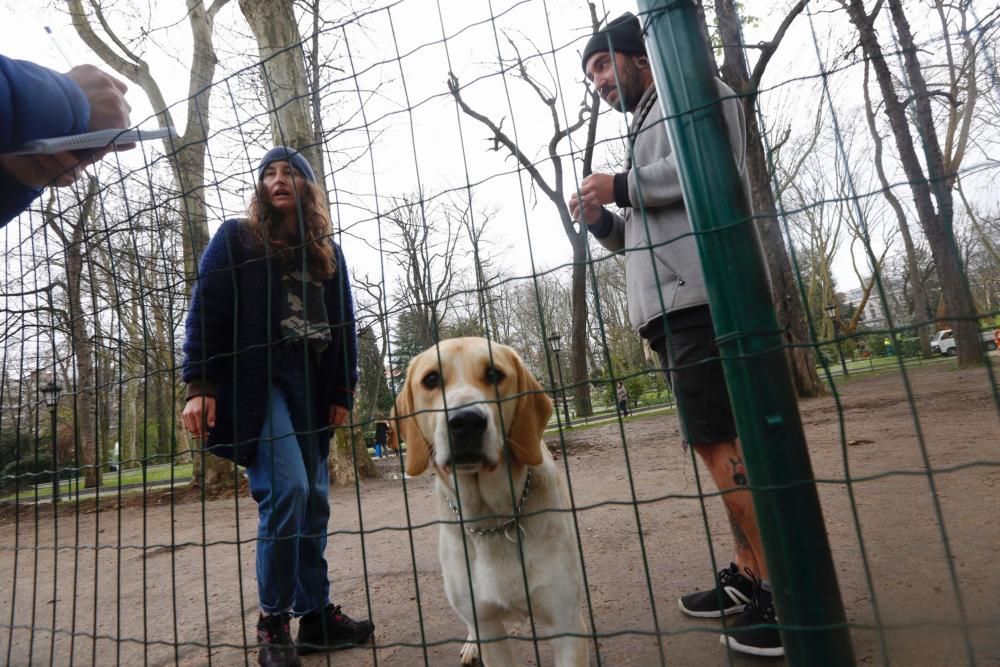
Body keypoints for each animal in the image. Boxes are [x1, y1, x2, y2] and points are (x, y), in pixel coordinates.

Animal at [394, 340, 588, 667]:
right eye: (431, 379)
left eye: (494, 374)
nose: (466, 422)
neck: (491, 520)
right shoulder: (488, 628)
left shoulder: (567, 625)